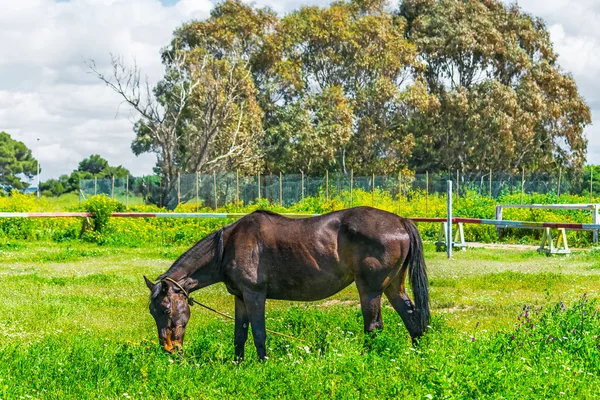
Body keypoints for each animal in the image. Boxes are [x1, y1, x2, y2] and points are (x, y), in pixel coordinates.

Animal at [143, 206, 428, 360]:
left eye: (165, 309)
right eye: (152, 312)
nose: (169, 349)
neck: (228, 246)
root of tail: (401, 221)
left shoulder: (254, 295)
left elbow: (258, 333)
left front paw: (263, 364)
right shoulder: (240, 298)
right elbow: (239, 335)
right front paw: (236, 365)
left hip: (370, 290)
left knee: (374, 326)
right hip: (392, 286)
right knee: (411, 318)